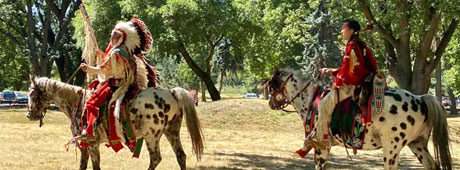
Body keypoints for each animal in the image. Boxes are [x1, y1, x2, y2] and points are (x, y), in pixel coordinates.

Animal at [26, 77, 203, 170]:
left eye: (33, 95)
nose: (30, 115)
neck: (78, 103)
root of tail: (171, 93)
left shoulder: (91, 143)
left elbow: (95, 166)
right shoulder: (84, 145)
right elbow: (83, 165)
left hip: (151, 137)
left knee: (156, 158)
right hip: (171, 132)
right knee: (180, 156)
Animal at [268, 68, 452, 170]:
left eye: (271, 85)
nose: (270, 103)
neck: (312, 100)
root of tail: (420, 99)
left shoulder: (321, 148)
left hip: (391, 148)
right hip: (417, 144)